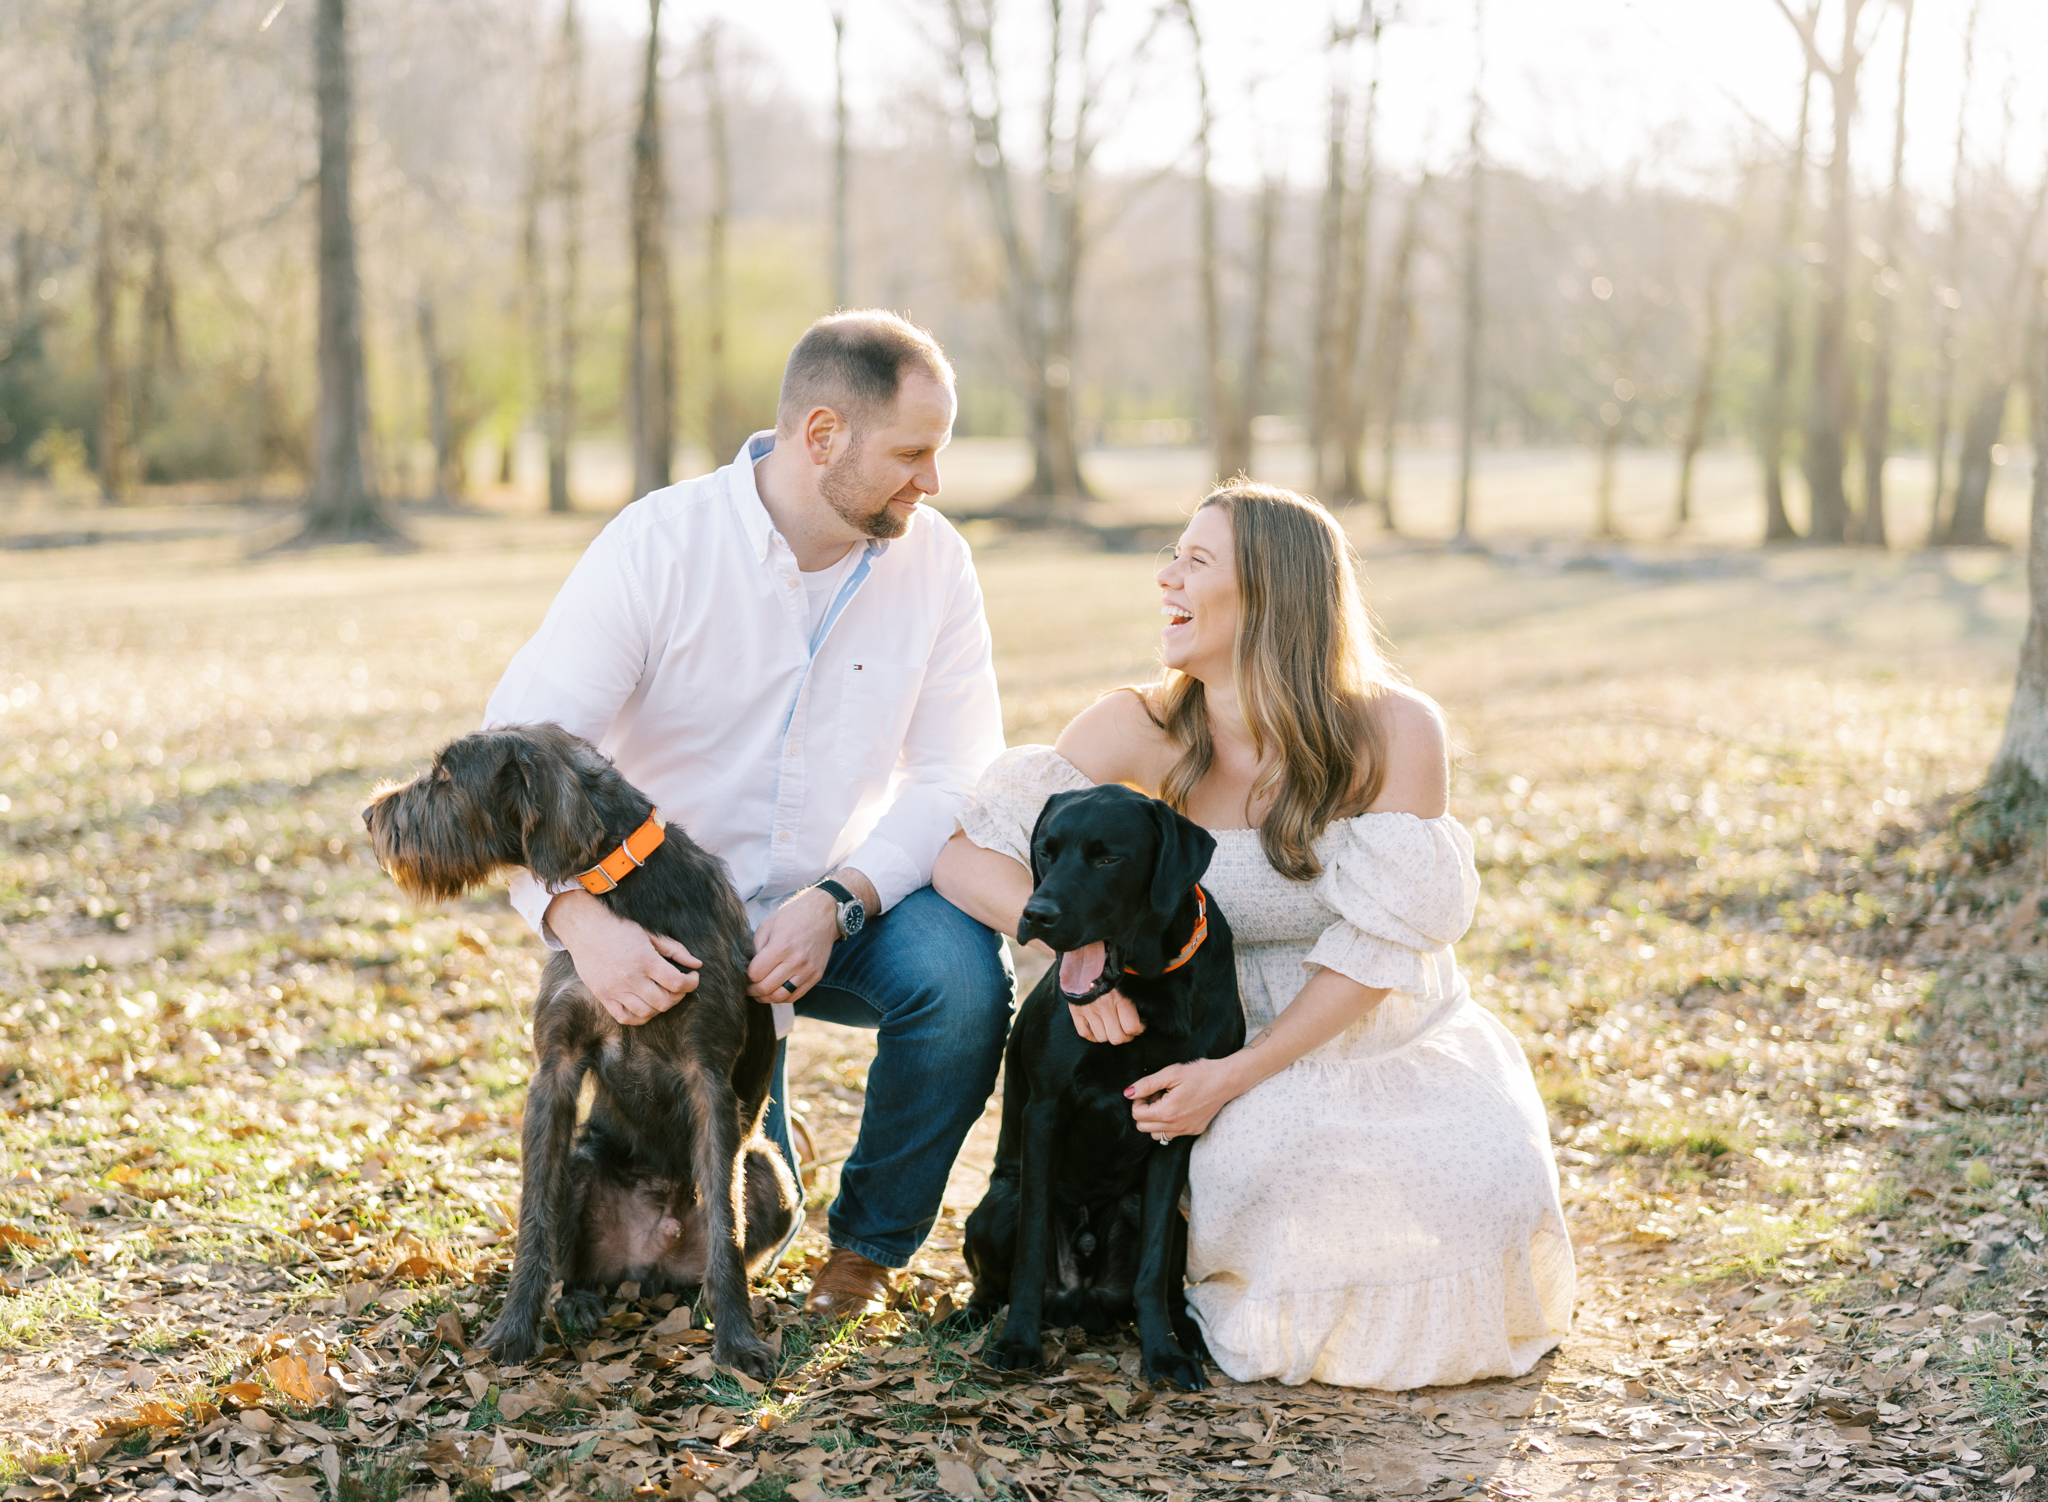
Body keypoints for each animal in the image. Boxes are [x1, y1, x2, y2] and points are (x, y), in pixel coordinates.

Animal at [364, 721, 794, 1377]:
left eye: (444, 777)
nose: (368, 815)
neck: (622, 890)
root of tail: (647, 1264)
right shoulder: (556, 1070)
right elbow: (534, 1217)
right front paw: (513, 1330)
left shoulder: (708, 1080)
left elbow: (727, 1224)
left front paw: (739, 1341)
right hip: (584, 1163)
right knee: (583, 1266)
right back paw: (579, 1302)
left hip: (770, 1173)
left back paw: (699, 1302)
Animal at [962, 786, 1236, 1385]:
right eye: (1046, 851)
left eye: (1109, 858)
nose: (1035, 914)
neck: (1147, 989)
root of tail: (1082, 1301)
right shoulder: (1045, 1112)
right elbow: (1030, 1250)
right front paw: (1018, 1342)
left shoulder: (1174, 1120)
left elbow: (1152, 1270)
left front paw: (1164, 1355)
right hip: (997, 1204)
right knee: (993, 1278)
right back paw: (971, 1317)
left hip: (1165, 1219)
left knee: (1162, 1283)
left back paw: (1186, 1335)